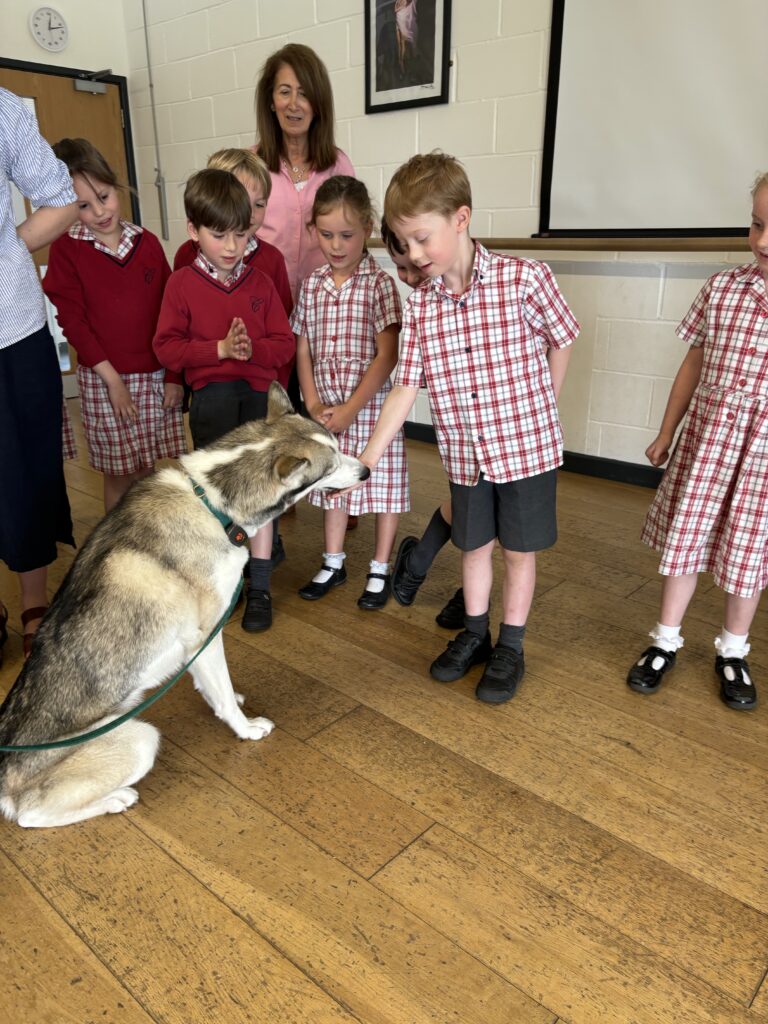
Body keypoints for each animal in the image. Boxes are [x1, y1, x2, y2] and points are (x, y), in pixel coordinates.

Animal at [0, 380, 370, 827]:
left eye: (337, 444)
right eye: (329, 468)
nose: (366, 471)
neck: (210, 501)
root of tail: (4, 780)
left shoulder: (196, 646)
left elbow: (214, 687)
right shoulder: (204, 636)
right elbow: (222, 691)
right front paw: (245, 728)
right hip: (140, 738)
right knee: (30, 815)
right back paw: (116, 799)